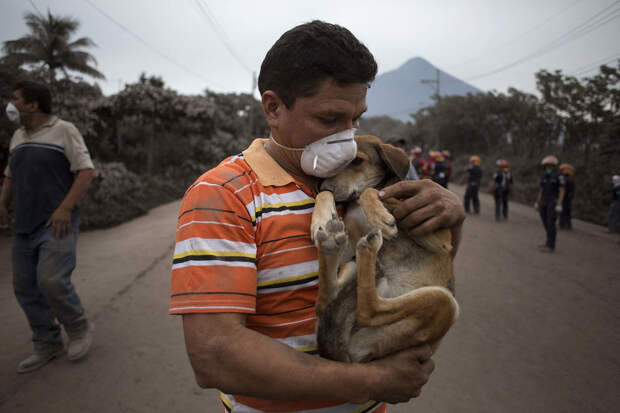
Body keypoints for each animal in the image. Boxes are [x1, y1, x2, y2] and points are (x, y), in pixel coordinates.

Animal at [312, 134, 458, 360]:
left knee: (370, 311)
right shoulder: (350, 245)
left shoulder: (439, 239)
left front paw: (380, 216)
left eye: (357, 161)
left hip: (445, 303)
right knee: (330, 301)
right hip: (352, 267)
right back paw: (334, 244)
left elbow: (373, 191)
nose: (324, 186)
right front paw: (320, 216)